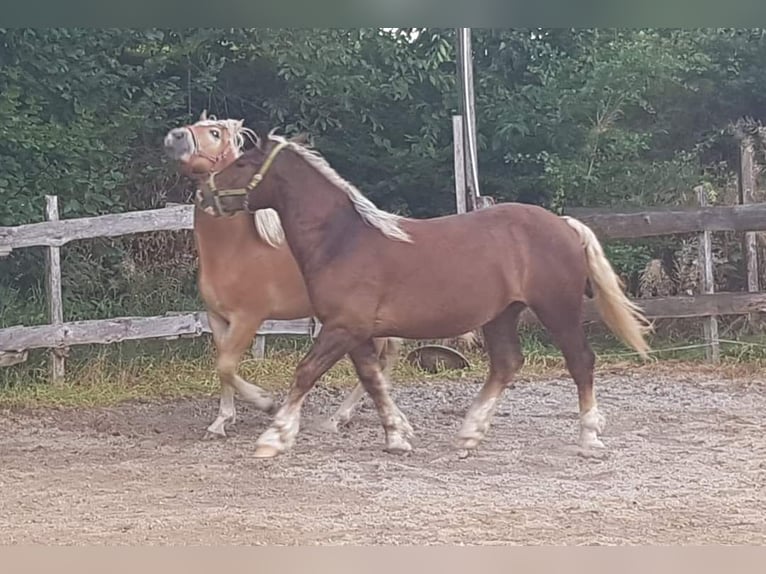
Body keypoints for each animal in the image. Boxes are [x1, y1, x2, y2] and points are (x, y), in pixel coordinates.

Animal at [163, 115, 408, 438]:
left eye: (214, 133)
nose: (174, 137)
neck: (235, 248)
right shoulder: (216, 317)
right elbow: (222, 365)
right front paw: (221, 421)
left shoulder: (248, 318)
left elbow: (226, 365)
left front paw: (267, 404)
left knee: (380, 360)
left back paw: (339, 417)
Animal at [198, 132, 656, 460]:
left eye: (242, 163)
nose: (204, 194)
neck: (342, 240)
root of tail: (564, 223)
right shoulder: (354, 332)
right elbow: (373, 379)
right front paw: (397, 437)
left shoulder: (342, 327)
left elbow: (306, 372)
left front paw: (273, 436)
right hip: (501, 314)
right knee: (507, 364)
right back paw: (469, 435)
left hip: (557, 308)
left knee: (581, 362)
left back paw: (589, 440)